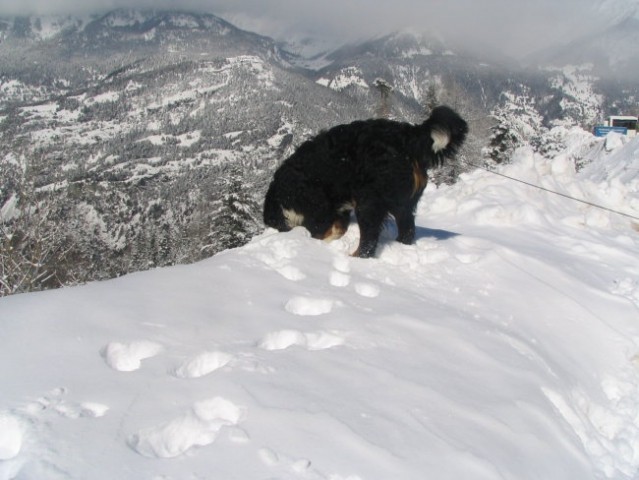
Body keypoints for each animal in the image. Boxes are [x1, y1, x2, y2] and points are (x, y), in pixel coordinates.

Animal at [262, 104, 468, 255]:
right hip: (402, 204)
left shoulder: (318, 210)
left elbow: (320, 230)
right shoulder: (339, 210)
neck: (282, 199)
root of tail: (406, 135)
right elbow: (337, 229)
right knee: (407, 230)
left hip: (368, 201)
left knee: (369, 241)